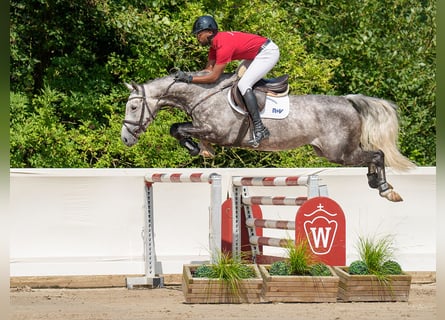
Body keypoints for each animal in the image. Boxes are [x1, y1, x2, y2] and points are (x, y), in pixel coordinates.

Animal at [120, 73, 412, 202]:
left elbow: (180, 129)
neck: (202, 95)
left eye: (133, 107)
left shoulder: (217, 131)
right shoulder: (204, 128)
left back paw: (385, 188)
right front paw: (198, 149)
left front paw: (196, 148)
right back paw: (377, 182)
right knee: (372, 156)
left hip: (338, 153)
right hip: (331, 152)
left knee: (377, 154)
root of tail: (348, 101)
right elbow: (176, 128)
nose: (125, 139)